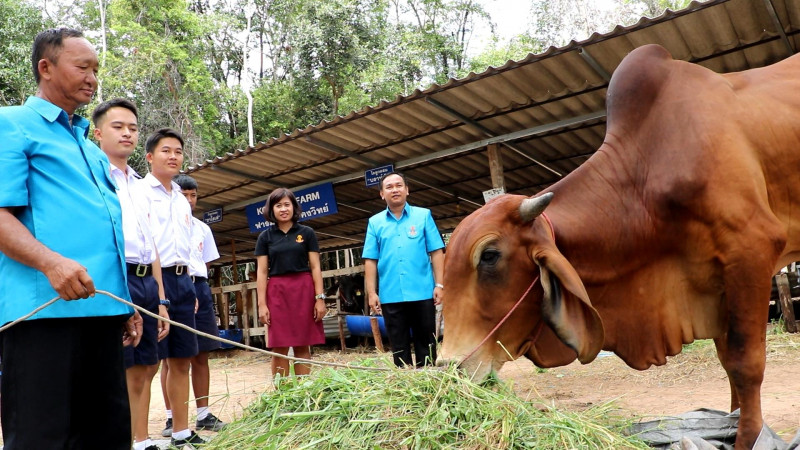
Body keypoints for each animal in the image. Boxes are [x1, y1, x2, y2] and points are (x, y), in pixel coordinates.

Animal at [440, 43, 800, 450]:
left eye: (489, 255)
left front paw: (750, 437)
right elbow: (727, 362)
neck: (646, 176)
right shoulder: (718, 283)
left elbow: (745, 363)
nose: (449, 368)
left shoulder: (750, 250)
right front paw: (730, 423)